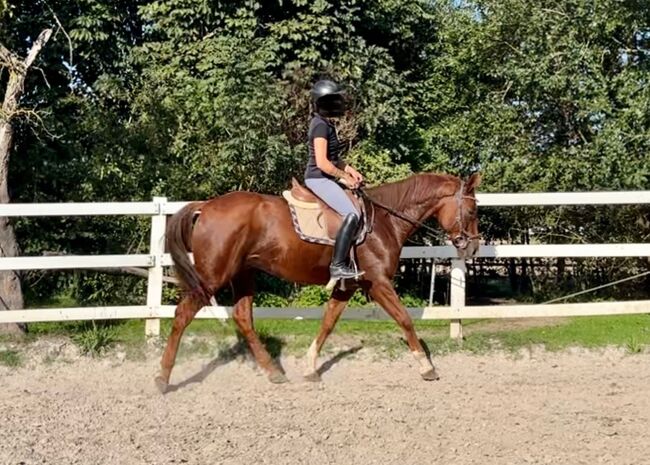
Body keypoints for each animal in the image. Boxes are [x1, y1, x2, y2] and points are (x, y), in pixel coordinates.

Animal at [154, 171, 478, 392]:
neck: (384, 221)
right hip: (212, 277)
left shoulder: (349, 286)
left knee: (242, 317)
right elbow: (404, 319)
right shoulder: (378, 283)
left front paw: (310, 367)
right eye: (473, 210)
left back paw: (274, 372)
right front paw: (426, 366)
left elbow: (327, 323)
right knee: (182, 314)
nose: (473, 248)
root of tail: (206, 205)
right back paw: (163, 378)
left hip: (243, 274)